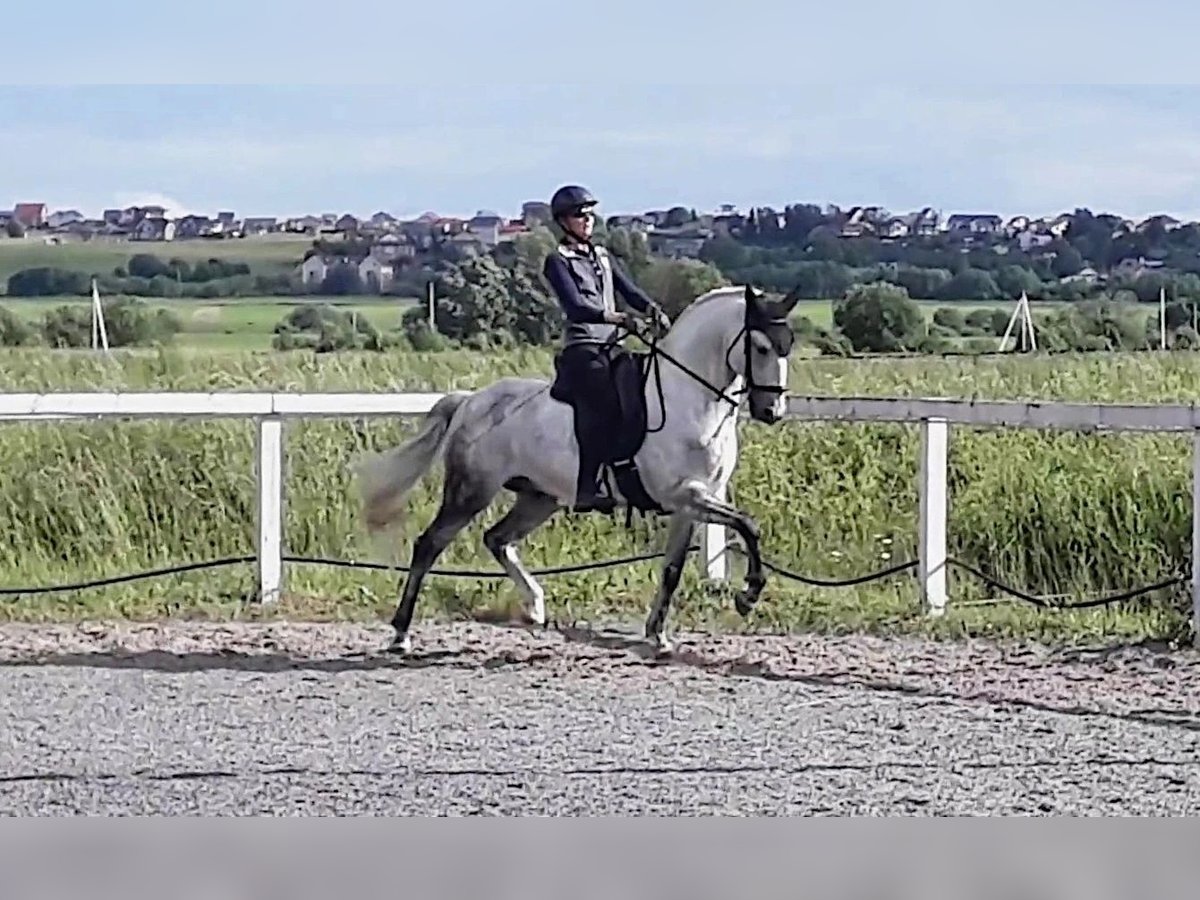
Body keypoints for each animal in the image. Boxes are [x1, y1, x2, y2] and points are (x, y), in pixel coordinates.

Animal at [355, 283, 806, 657]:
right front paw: (748, 596)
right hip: (471, 491)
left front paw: (658, 635)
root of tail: (470, 401)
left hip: (539, 498)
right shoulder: (686, 494)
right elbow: (749, 526)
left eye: (788, 346)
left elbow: (673, 570)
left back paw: (535, 607)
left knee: (497, 539)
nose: (772, 411)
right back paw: (400, 635)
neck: (691, 400)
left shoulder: (692, 504)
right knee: (429, 545)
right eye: (761, 347)